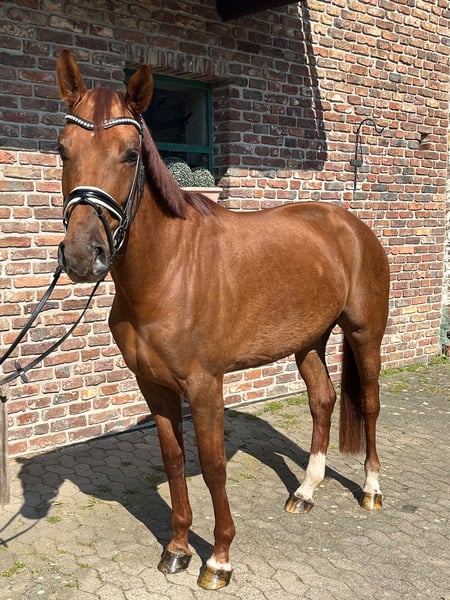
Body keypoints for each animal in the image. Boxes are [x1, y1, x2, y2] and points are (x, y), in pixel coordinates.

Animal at [56, 49, 390, 590]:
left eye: (131, 153)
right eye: (63, 149)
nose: (84, 255)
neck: (168, 273)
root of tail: (352, 226)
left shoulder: (205, 386)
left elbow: (213, 467)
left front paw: (218, 558)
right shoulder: (154, 386)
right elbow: (173, 461)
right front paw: (176, 550)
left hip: (365, 335)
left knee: (372, 405)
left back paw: (372, 490)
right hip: (308, 341)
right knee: (322, 400)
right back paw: (305, 492)